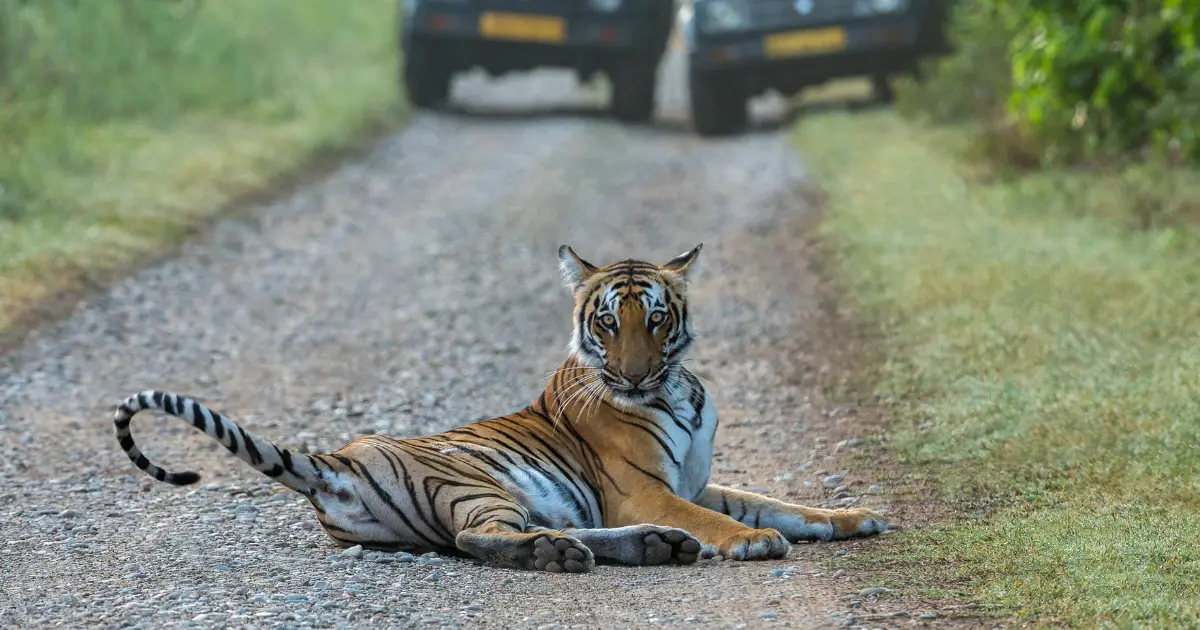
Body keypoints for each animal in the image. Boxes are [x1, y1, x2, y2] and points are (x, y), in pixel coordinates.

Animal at [112, 244, 888, 568]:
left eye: (657, 319)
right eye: (608, 323)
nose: (634, 374)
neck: (678, 388)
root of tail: (338, 460)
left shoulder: (696, 482)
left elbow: (780, 504)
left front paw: (853, 518)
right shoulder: (643, 490)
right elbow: (728, 520)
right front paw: (751, 542)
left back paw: (648, 548)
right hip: (478, 483)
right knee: (474, 540)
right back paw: (571, 555)